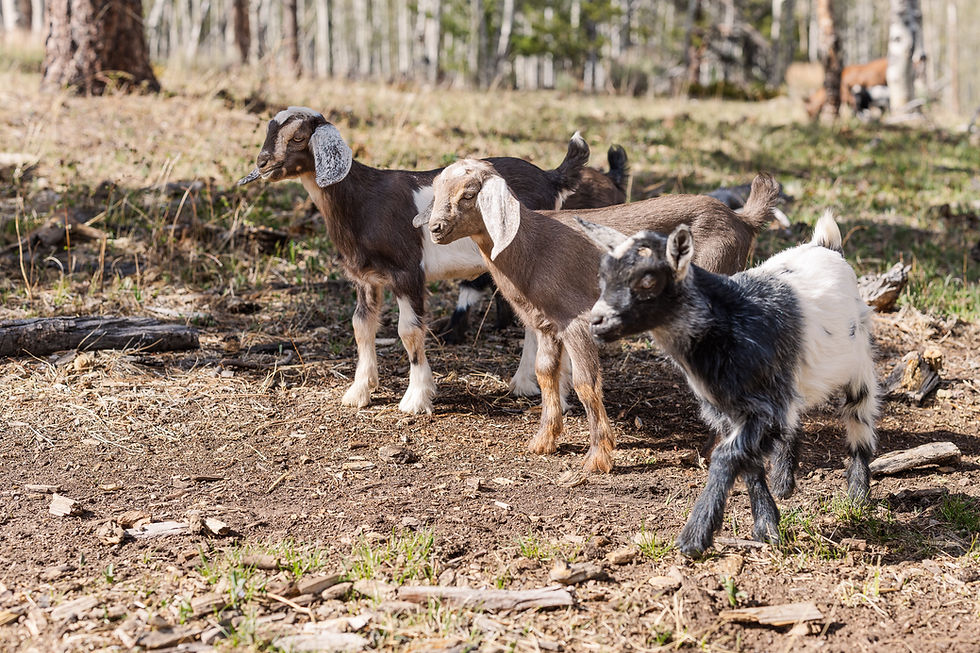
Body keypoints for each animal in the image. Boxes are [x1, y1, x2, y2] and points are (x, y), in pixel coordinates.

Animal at [239, 106, 589, 414]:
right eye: (270, 131)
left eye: (298, 137)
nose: (263, 162)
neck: (362, 201)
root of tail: (551, 178)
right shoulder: (365, 278)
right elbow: (361, 326)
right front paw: (359, 391)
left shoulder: (407, 272)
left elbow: (408, 331)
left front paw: (416, 398)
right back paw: (527, 384)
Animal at [581, 212, 878, 556]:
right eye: (603, 277)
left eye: (648, 280)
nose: (596, 321)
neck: (727, 321)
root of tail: (826, 245)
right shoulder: (727, 408)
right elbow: (748, 463)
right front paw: (767, 526)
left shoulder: (761, 407)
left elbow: (725, 456)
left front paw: (694, 537)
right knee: (795, 417)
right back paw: (784, 481)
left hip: (859, 363)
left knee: (859, 418)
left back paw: (857, 495)